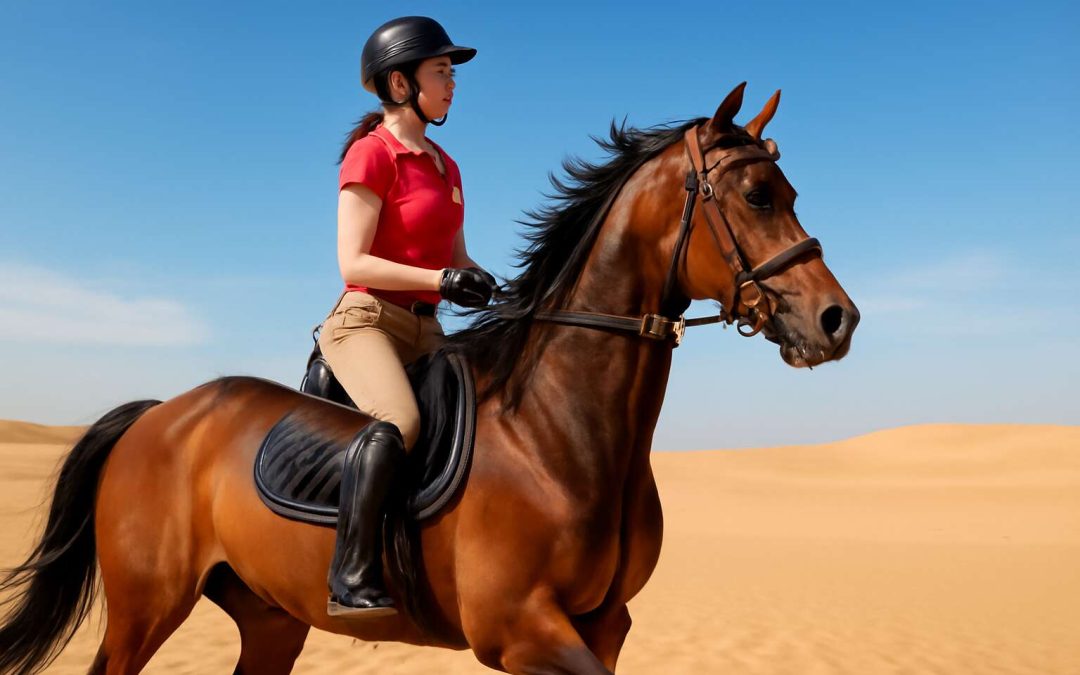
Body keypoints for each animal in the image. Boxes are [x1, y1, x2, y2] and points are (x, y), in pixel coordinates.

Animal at [0, 82, 858, 675]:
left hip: (271, 616)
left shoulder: (603, 623)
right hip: (146, 608)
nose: (836, 320)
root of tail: (160, 413)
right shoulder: (520, 629)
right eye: (757, 195)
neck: (558, 428)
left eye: (787, 193)